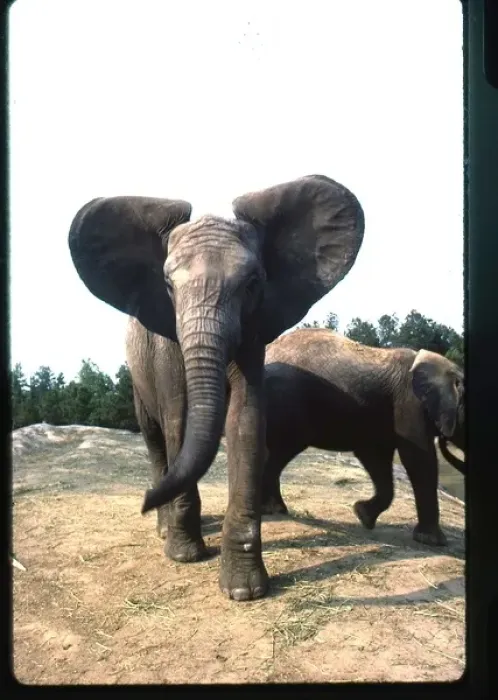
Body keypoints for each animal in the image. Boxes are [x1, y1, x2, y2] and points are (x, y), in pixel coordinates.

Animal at [68, 175, 365, 600]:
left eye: (253, 283)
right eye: (168, 286)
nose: (142, 502)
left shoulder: (254, 328)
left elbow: (246, 421)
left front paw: (244, 591)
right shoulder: (166, 339)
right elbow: (179, 419)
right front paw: (185, 557)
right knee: (155, 438)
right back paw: (164, 527)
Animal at [260, 328, 465, 547]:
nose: (445, 438)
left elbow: (375, 457)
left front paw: (363, 515)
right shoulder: (409, 404)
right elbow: (418, 458)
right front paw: (433, 541)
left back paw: (274, 509)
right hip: (286, 403)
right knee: (281, 450)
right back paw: (271, 509)